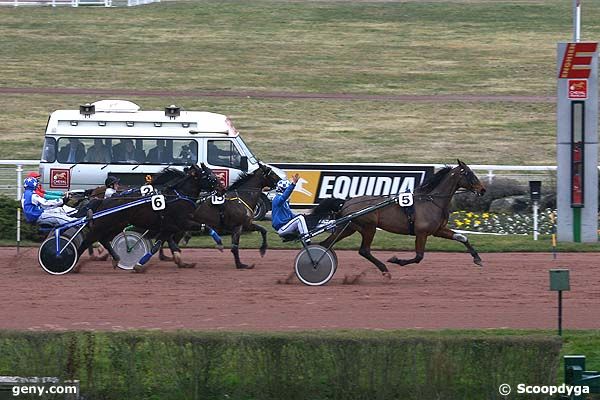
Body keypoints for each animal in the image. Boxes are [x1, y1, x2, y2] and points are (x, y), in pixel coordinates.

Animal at [76, 162, 219, 272]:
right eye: (209, 176)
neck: (178, 196)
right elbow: (204, 227)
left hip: (116, 225)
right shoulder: (181, 223)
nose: (222, 187)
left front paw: (181, 262)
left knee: (103, 239)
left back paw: (114, 258)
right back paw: (75, 264)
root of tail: (103, 200)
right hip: (104, 224)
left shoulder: (169, 227)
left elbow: (162, 245)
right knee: (88, 239)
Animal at [314, 160, 488, 282]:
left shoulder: (437, 230)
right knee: (364, 250)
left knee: (326, 244)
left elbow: (462, 237)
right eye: (469, 174)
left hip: (348, 227)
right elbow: (418, 257)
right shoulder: (421, 232)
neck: (432, 200)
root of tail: (346, 202)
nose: (483, 190)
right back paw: (384, 270)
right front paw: (396, 260)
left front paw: (477, 258)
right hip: (369, 227)